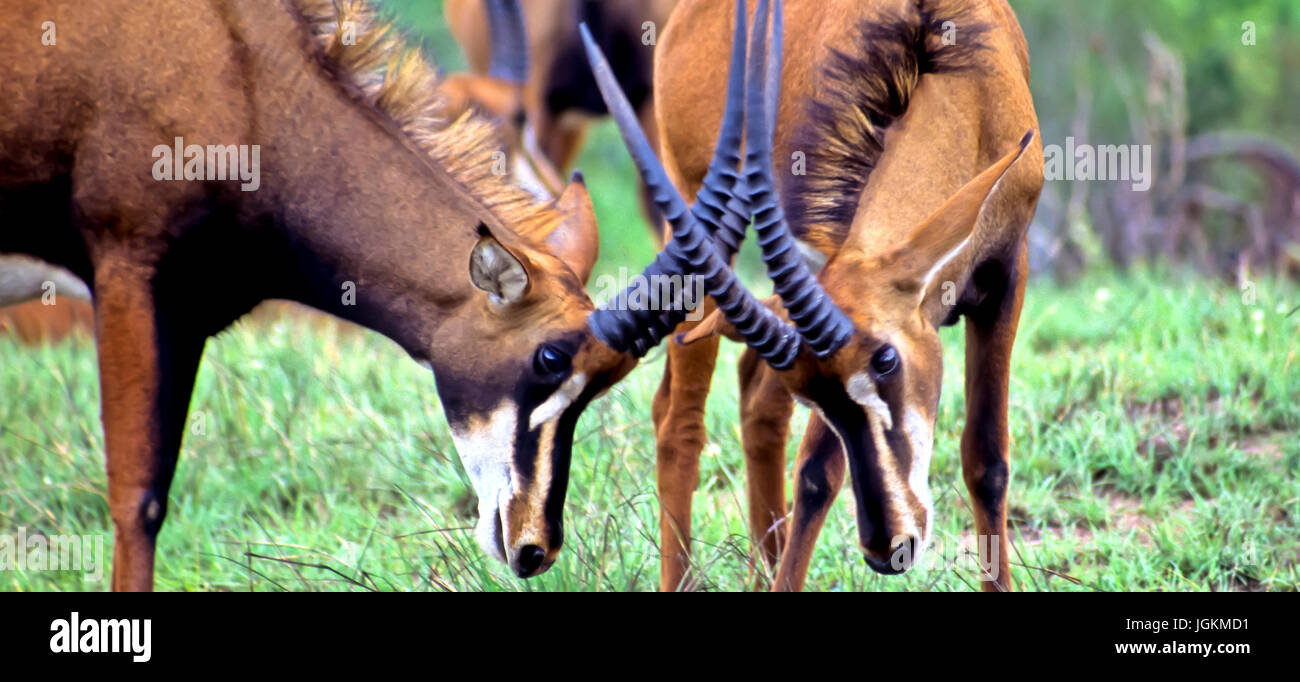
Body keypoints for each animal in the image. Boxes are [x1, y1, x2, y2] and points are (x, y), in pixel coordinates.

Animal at [0, 0, 665, 587]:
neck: (243, 72)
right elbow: (138, 499)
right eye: (550, 357)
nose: (536, 548)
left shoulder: (187, 314)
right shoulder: (127, 270)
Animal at [590, 0, 1045, 587]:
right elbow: (815, 471)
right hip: (695, 222)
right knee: (678, 415)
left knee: (755, 396)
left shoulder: (1008, 277)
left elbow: (987, 460)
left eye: (887, 360)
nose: (887, 550)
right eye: (817, 398)